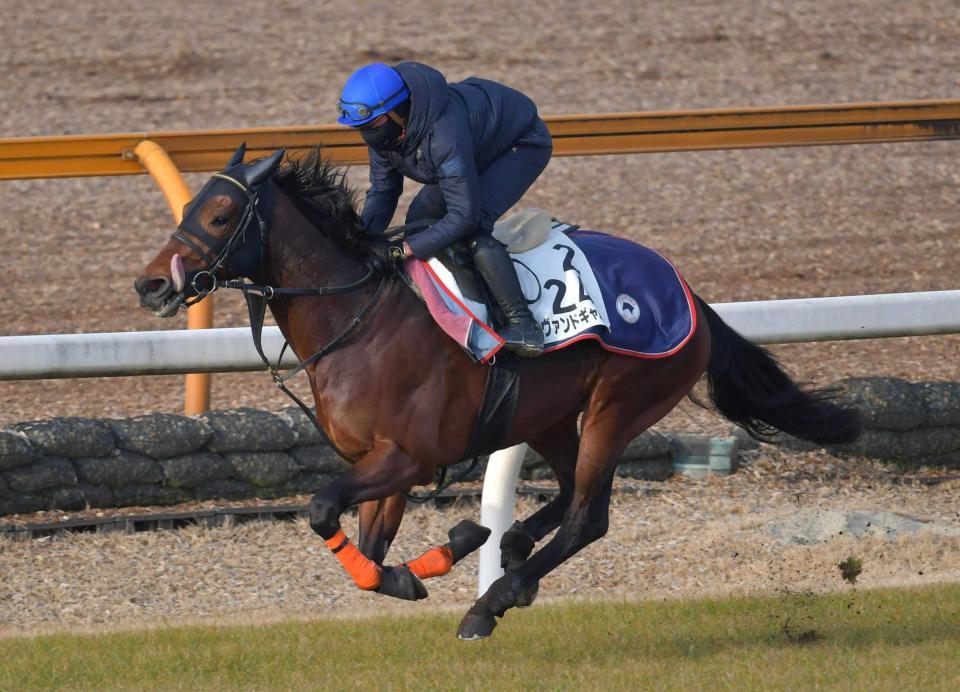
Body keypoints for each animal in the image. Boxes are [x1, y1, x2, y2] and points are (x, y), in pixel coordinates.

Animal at [135, 149, 864, 640]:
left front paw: (458, 550)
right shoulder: (382, 465)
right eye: (189, 206)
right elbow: (368, 555)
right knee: (567, 494)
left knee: (587, 517)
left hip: (619, 405)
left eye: (221, 213)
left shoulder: (410, 457)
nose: (151, 284)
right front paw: (439, 554)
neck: (358, 319)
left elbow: (318, 510)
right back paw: (510, 551)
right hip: (547, 415)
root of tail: (690, 295)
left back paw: (494, 600)